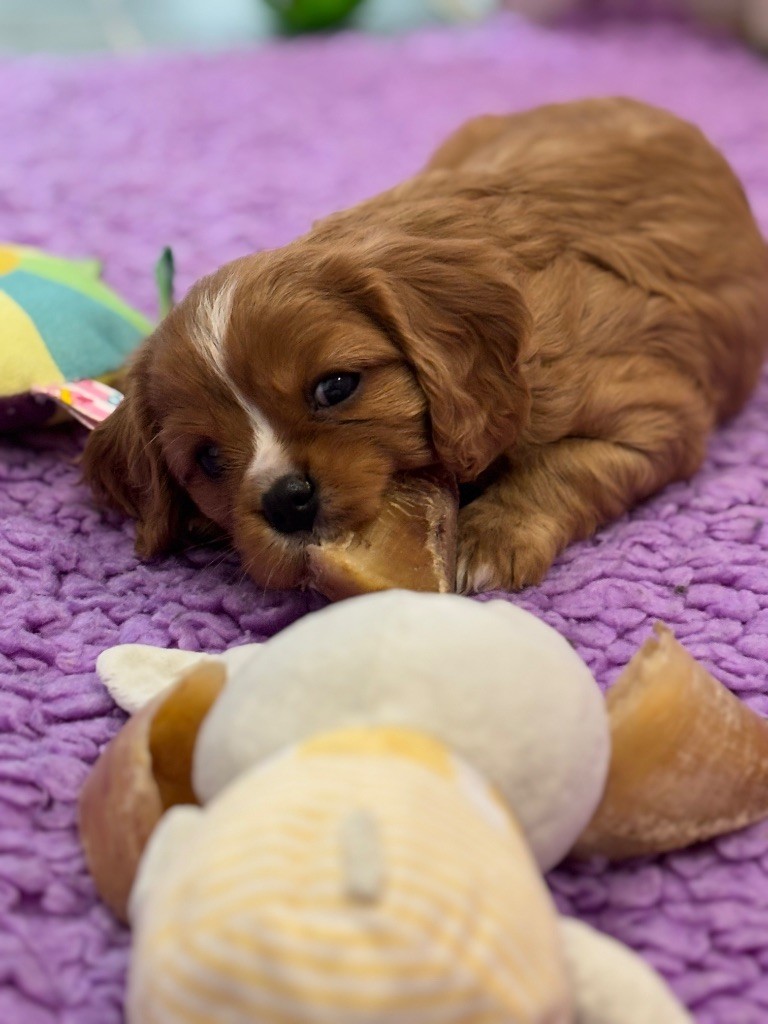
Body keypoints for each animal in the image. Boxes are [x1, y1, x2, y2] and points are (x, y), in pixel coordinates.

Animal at [83, 97, 768, 593]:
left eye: (336, 386)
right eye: (206, 459)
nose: (286, 501)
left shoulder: (657, 414)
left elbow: (566, 466)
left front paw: (492, 540)